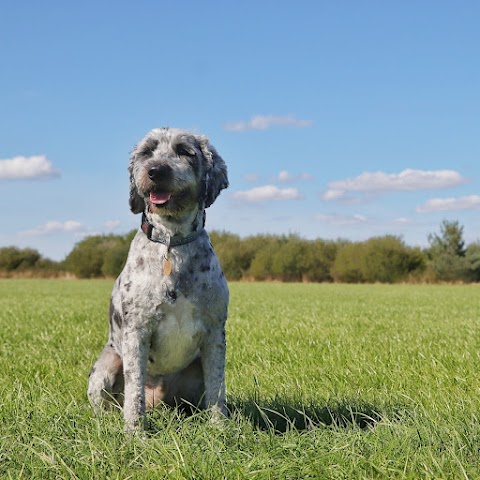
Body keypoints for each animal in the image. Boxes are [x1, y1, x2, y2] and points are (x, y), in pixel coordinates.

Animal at [88, 126, 231, 432]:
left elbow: (217, 389)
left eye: (185, 151)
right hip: (105, 368)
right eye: (147, 152)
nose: (155, 170)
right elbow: (134, 394)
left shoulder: (215, 333)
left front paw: (220, 428)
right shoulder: (137, 331)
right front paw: (135, 433)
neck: (172, 243)